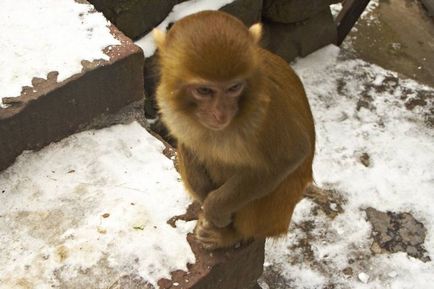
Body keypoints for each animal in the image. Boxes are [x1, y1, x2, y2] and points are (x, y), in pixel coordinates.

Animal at [153, 10, 316, 250]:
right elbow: (189, 144)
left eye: (234, 88)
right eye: (204, 90)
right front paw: (204, 198)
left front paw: (214, 208)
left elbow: (287, 157)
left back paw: (231, 235)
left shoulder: (267, 110)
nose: (221, 113)